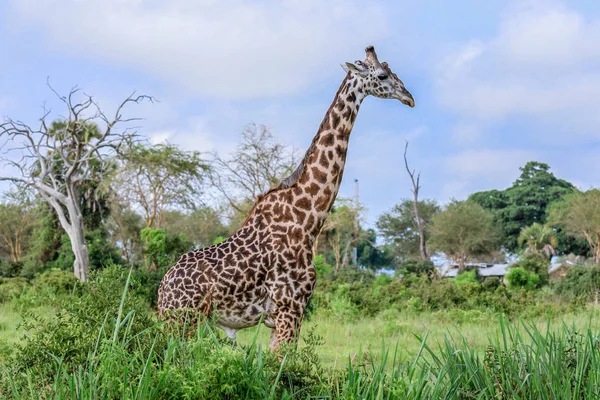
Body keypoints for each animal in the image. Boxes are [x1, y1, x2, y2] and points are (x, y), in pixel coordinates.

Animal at [157, 46, 414, 350]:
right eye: (383, 75)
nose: (409, 97)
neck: (307, 219)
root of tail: (161, 290)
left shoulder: (283, 315)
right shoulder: (290, 307)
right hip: (181, 320)